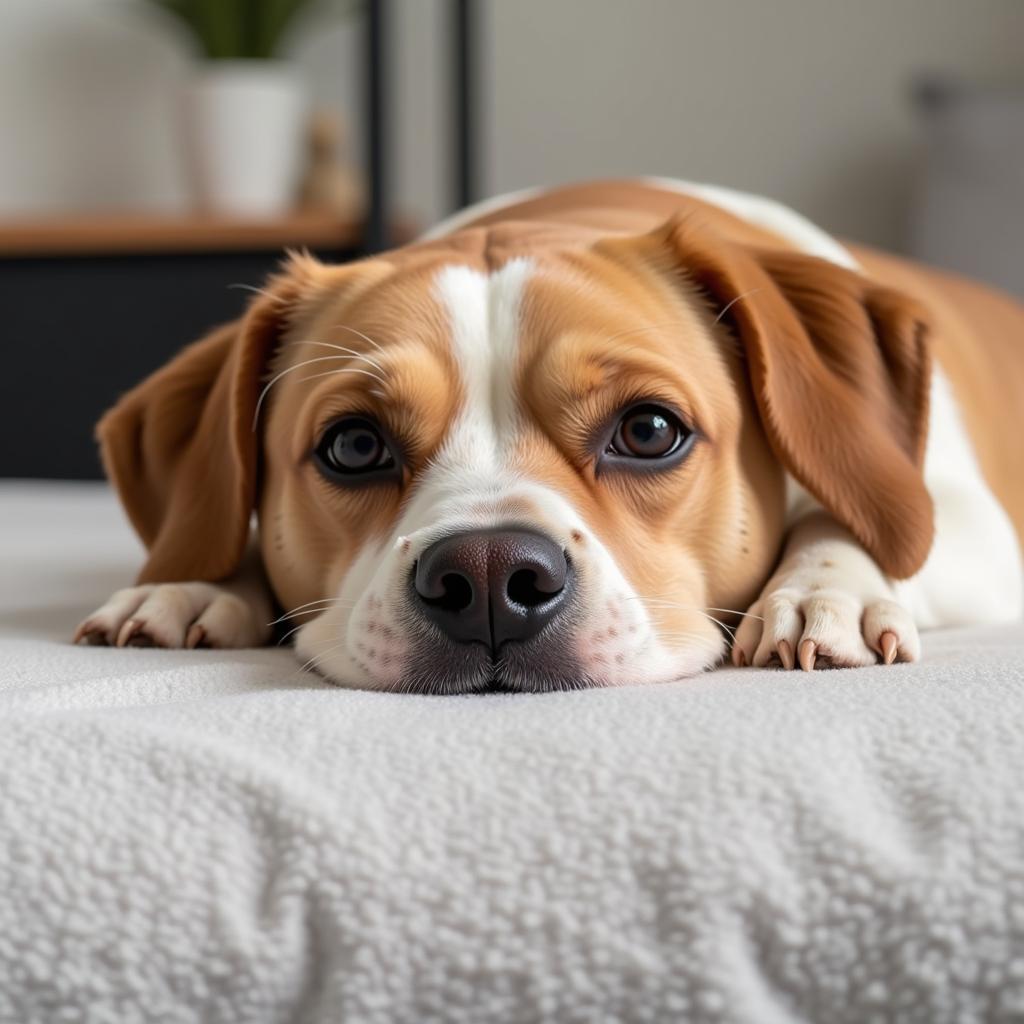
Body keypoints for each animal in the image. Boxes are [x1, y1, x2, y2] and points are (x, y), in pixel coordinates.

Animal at [74, 180, 1024, 692]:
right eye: (354, 446)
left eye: (649, 430)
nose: (490, 576)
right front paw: (196, 583)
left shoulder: (971, 523)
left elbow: (857, 517)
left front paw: (826, 588)